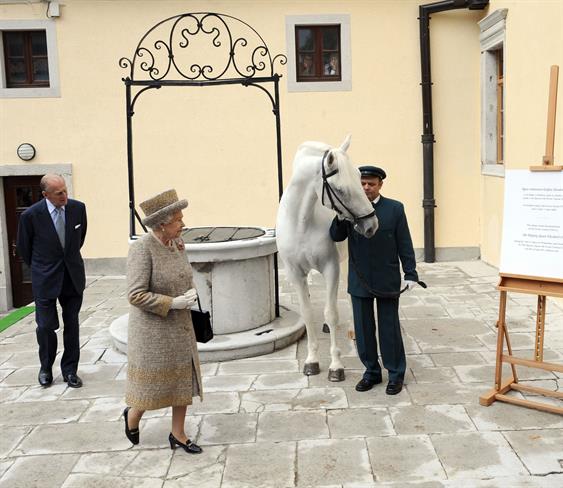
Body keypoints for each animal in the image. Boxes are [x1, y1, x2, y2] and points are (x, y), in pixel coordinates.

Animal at [278, 137, 378, 382]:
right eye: (340, 189)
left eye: (360, 180)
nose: (372, 225)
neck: (302, 222)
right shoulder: (295, 273)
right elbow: (307, 313)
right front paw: (312, 361)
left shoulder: (331, 268)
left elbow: (331, 313)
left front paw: (335, 366)